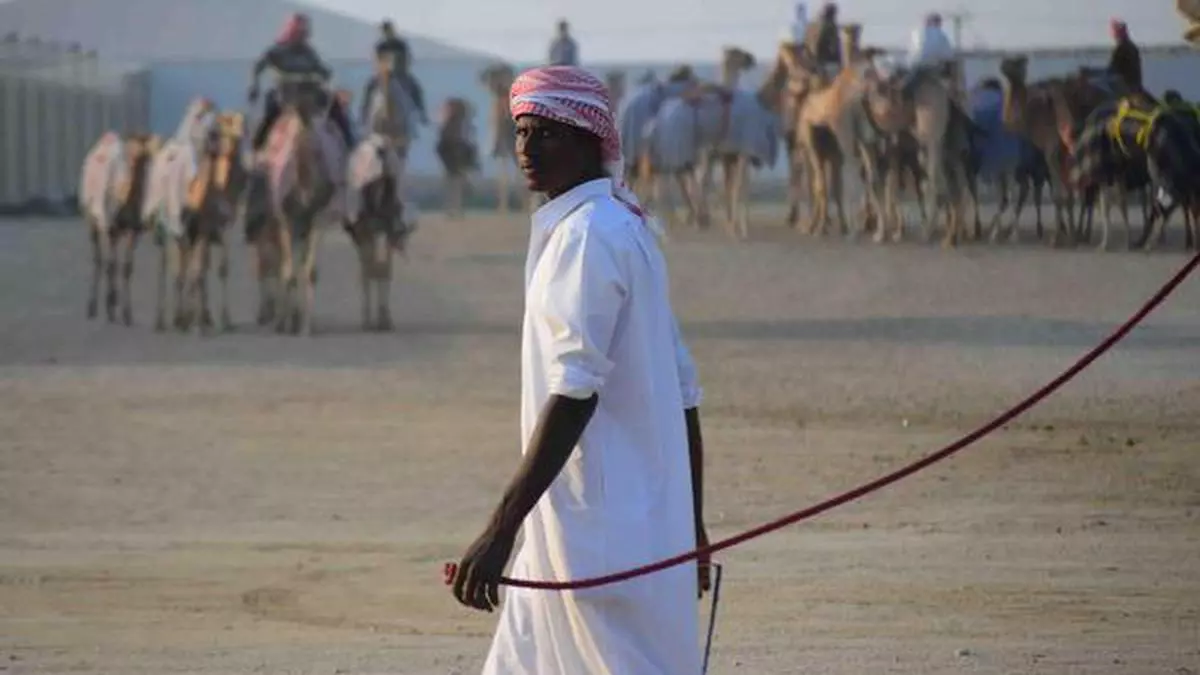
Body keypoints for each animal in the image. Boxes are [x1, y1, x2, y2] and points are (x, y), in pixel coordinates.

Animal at [78, 132, 160, 326]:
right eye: (133, 149)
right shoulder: (111, 227)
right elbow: (111, 264)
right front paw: (110, 307)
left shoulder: (131, 231)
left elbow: (126, 268)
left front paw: (126, 313)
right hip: (93, 219)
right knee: (100, 259)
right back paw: (92, 307)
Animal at [345, 54, 420, 331]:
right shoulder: (385, 227)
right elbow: (381, 266)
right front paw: (380, 317)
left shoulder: (363, 229)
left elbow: (368, 267)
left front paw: (369, 318)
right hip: (384, 225)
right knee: (383, 265)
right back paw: (384, 317)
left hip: (368, 225)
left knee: (372, 265)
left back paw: (374, 318)